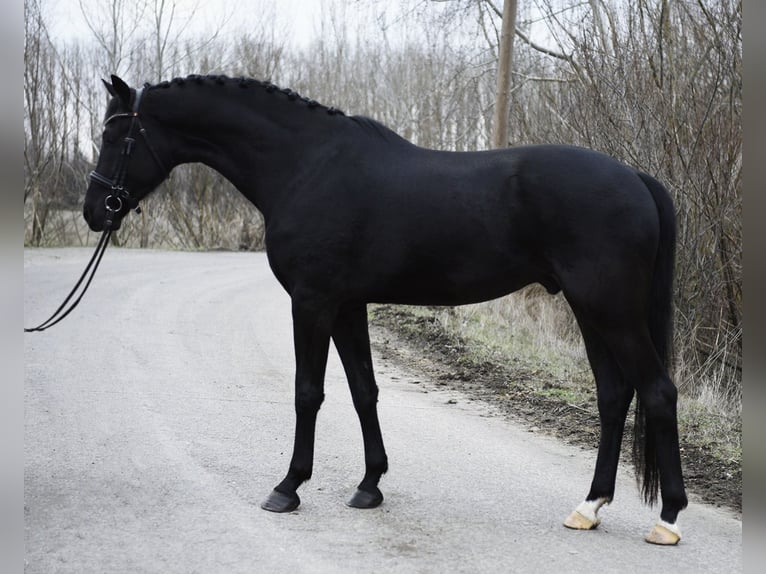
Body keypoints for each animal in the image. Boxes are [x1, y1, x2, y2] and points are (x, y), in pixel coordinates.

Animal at [83, 74, 687, 545]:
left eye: (114, 133)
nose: (95, 212)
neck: (306, 166)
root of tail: (636, 179)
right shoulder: (348, 304)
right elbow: (362, 390)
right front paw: (370, 485)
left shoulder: (313, 301)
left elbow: (308, 392)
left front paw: (287, 488)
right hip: (592, 311)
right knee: (614, 395)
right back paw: (589, 507)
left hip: (611, 309)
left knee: (657, 392)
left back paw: (668, 519)